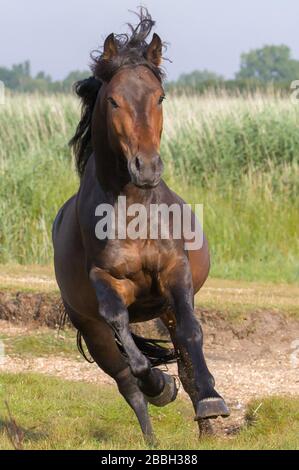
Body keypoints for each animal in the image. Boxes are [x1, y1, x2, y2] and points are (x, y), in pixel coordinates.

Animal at [52, 10, 230, 444]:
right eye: (114, 100)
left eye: (160, 97)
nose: (146, 168)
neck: (135, 211)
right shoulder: (106, 282)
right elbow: (130, 350)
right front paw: (161, 387)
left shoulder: (175, 274)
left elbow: (192, 335)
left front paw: (212, 402)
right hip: (92, 329)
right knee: (126, 381)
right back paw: (153, 427)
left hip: (163, 306)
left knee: (181, 354)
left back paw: (206, 423)